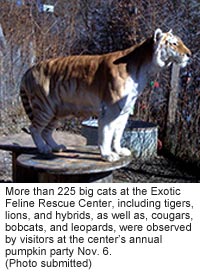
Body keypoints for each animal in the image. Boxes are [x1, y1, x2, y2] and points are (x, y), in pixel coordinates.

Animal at [19, 28, 191, 162]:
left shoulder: (124, 111)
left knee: (47, 131)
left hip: (58, 111)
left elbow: (118, 133)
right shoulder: (110, 110)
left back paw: (56, 147)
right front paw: (108, 155)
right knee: (34, 128)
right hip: (44, 107)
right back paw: (43, 148)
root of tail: (28, 70)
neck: (144, 68)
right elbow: (107, 134)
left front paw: (119, 150)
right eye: (174, 43)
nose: (190, 54)